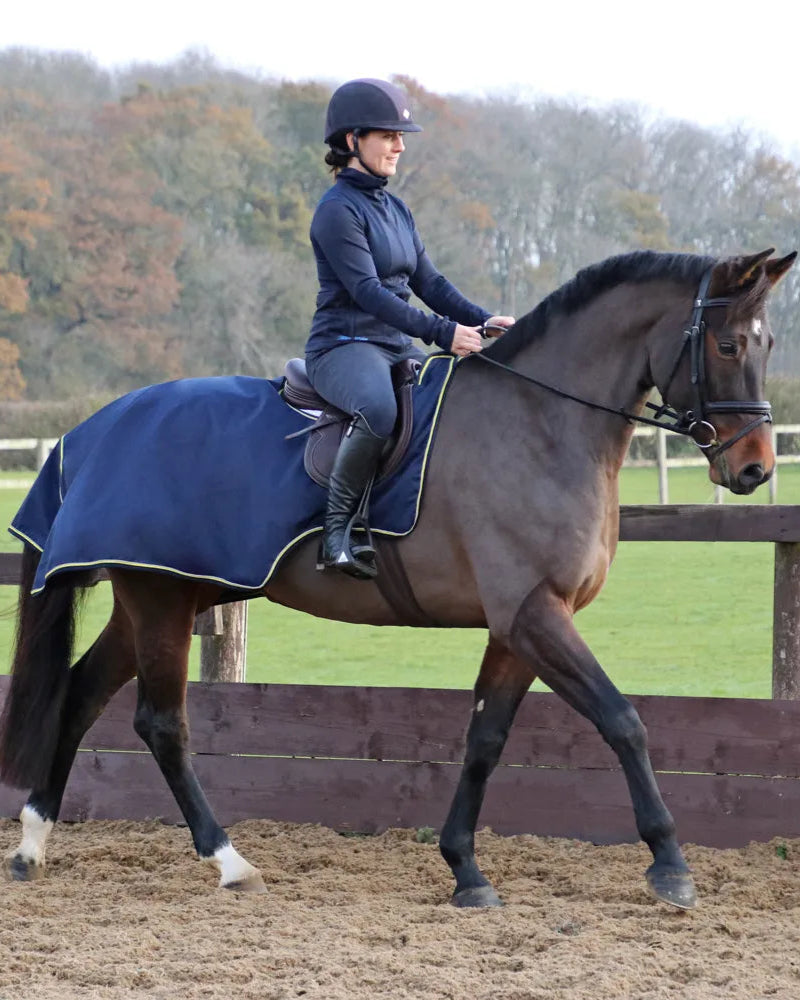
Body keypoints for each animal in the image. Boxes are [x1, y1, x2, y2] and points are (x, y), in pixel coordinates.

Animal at [0, 247, 795, 909]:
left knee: (81, 692)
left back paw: (34, 843)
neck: (541, 422)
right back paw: (229, 861)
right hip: (161, 600)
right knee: (161, 724)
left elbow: (485, 739)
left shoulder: (519, 624)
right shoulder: (536, 615)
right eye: (727, 344)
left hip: (159, 595)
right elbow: (623, 720)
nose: (754, 468)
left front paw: (465, 869)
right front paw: (669, 863)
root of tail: (90, 432)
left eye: (767, 345)